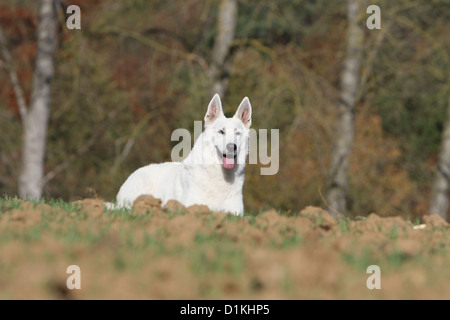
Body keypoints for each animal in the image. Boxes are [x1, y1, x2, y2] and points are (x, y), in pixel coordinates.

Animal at [114, 94, 251, 216]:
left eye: (237, 133)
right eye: (221, 131)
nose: (232, 147)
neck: (220, 174)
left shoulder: (235, 213)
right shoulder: (193, 206)